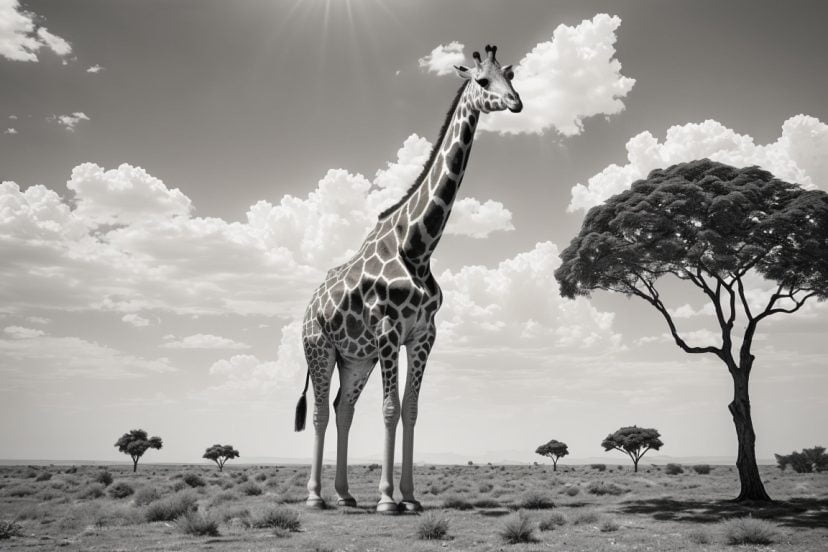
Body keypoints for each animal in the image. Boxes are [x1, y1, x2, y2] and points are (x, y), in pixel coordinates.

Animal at [294, 45, 522, 513]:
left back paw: (345, 495)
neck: (417, 246)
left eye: (510, 76)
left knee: (343, 409)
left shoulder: (423, 334)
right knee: (323, 411)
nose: (516, 103)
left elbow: (412, 409)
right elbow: (389, 408)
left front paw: (411, 498)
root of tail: (307, 309)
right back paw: (316, 496)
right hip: (319, 348)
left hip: (355, 358)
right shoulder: (388, 329)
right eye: (482, 81)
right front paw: (386, 499)